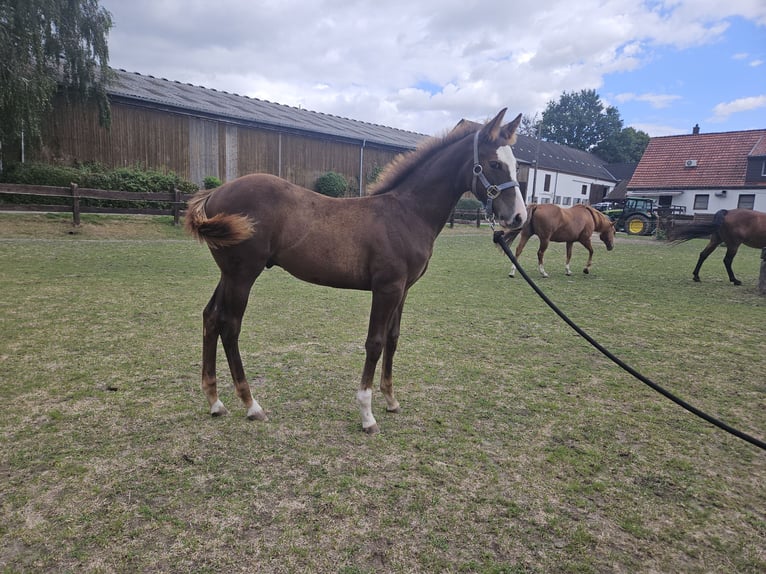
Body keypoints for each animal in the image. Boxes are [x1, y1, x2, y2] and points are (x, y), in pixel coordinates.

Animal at [185, 108, 527, 434]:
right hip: (243, 275)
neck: (407, 213)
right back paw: (251, 404)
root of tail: (214, 194)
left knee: (211, 317)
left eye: (515, 165)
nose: (519, 217)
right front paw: (367, 415)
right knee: (230, 327)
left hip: (229, 275)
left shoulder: (403, 289)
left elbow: (392, 338)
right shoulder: (386, 288)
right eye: (494, 164)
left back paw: (215, 401)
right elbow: (374, 343)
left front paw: (391, 400)